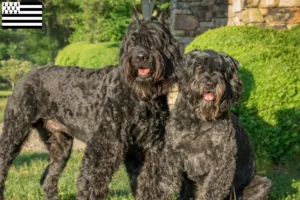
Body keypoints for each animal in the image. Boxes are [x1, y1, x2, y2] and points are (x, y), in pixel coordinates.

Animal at [0, 12, 180, 200]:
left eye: (155, 39)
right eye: (132, 40)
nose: (140, 56)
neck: (140, 97)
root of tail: (26, 75)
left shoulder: (148, 149)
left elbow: (147, 183)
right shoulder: (103, 146)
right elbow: (91, 184)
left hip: (60, 145)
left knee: (48, 179)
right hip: (14, 131)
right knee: (3, 165)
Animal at [161, 49, 274, 199]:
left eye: (221, 69)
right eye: (198, 66)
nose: (211, 83)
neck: (198, 120)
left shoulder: (222, 159)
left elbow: (213, 190)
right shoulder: (173, 154)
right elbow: (168, 185)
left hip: (262, 184)